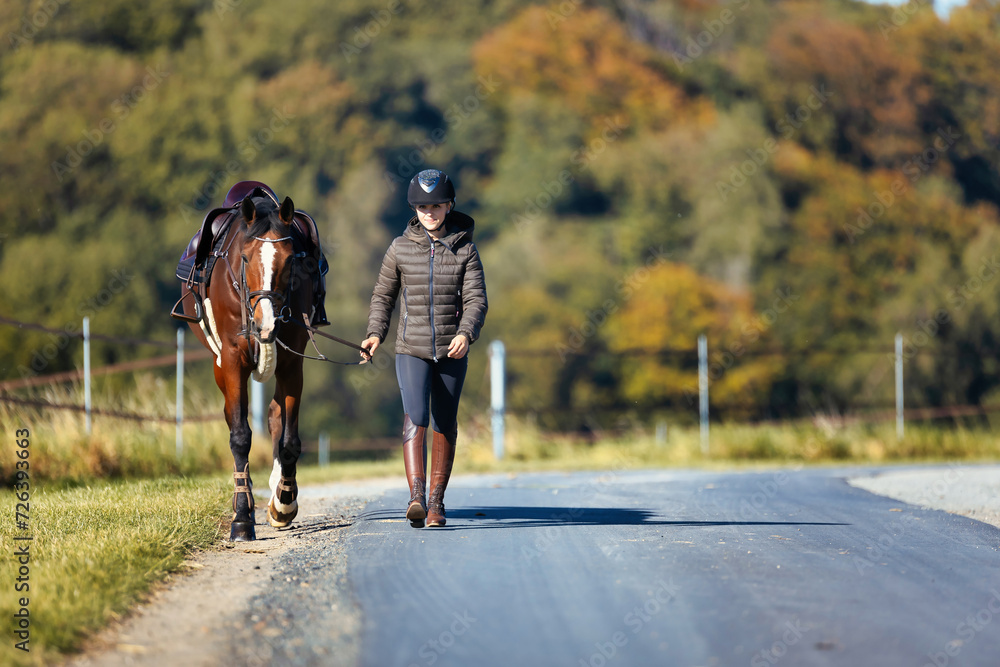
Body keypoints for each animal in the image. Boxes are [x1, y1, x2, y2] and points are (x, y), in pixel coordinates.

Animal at [176, 182, 324, 541]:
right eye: (244, 258)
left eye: (290, 260)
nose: (265, 322)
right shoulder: (232, 360)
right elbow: (240, 436)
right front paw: (242, 517)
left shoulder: (292, 361)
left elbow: (289, 439)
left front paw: (283, 502)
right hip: (219, 364)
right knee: (234, 417)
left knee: (274, 416)